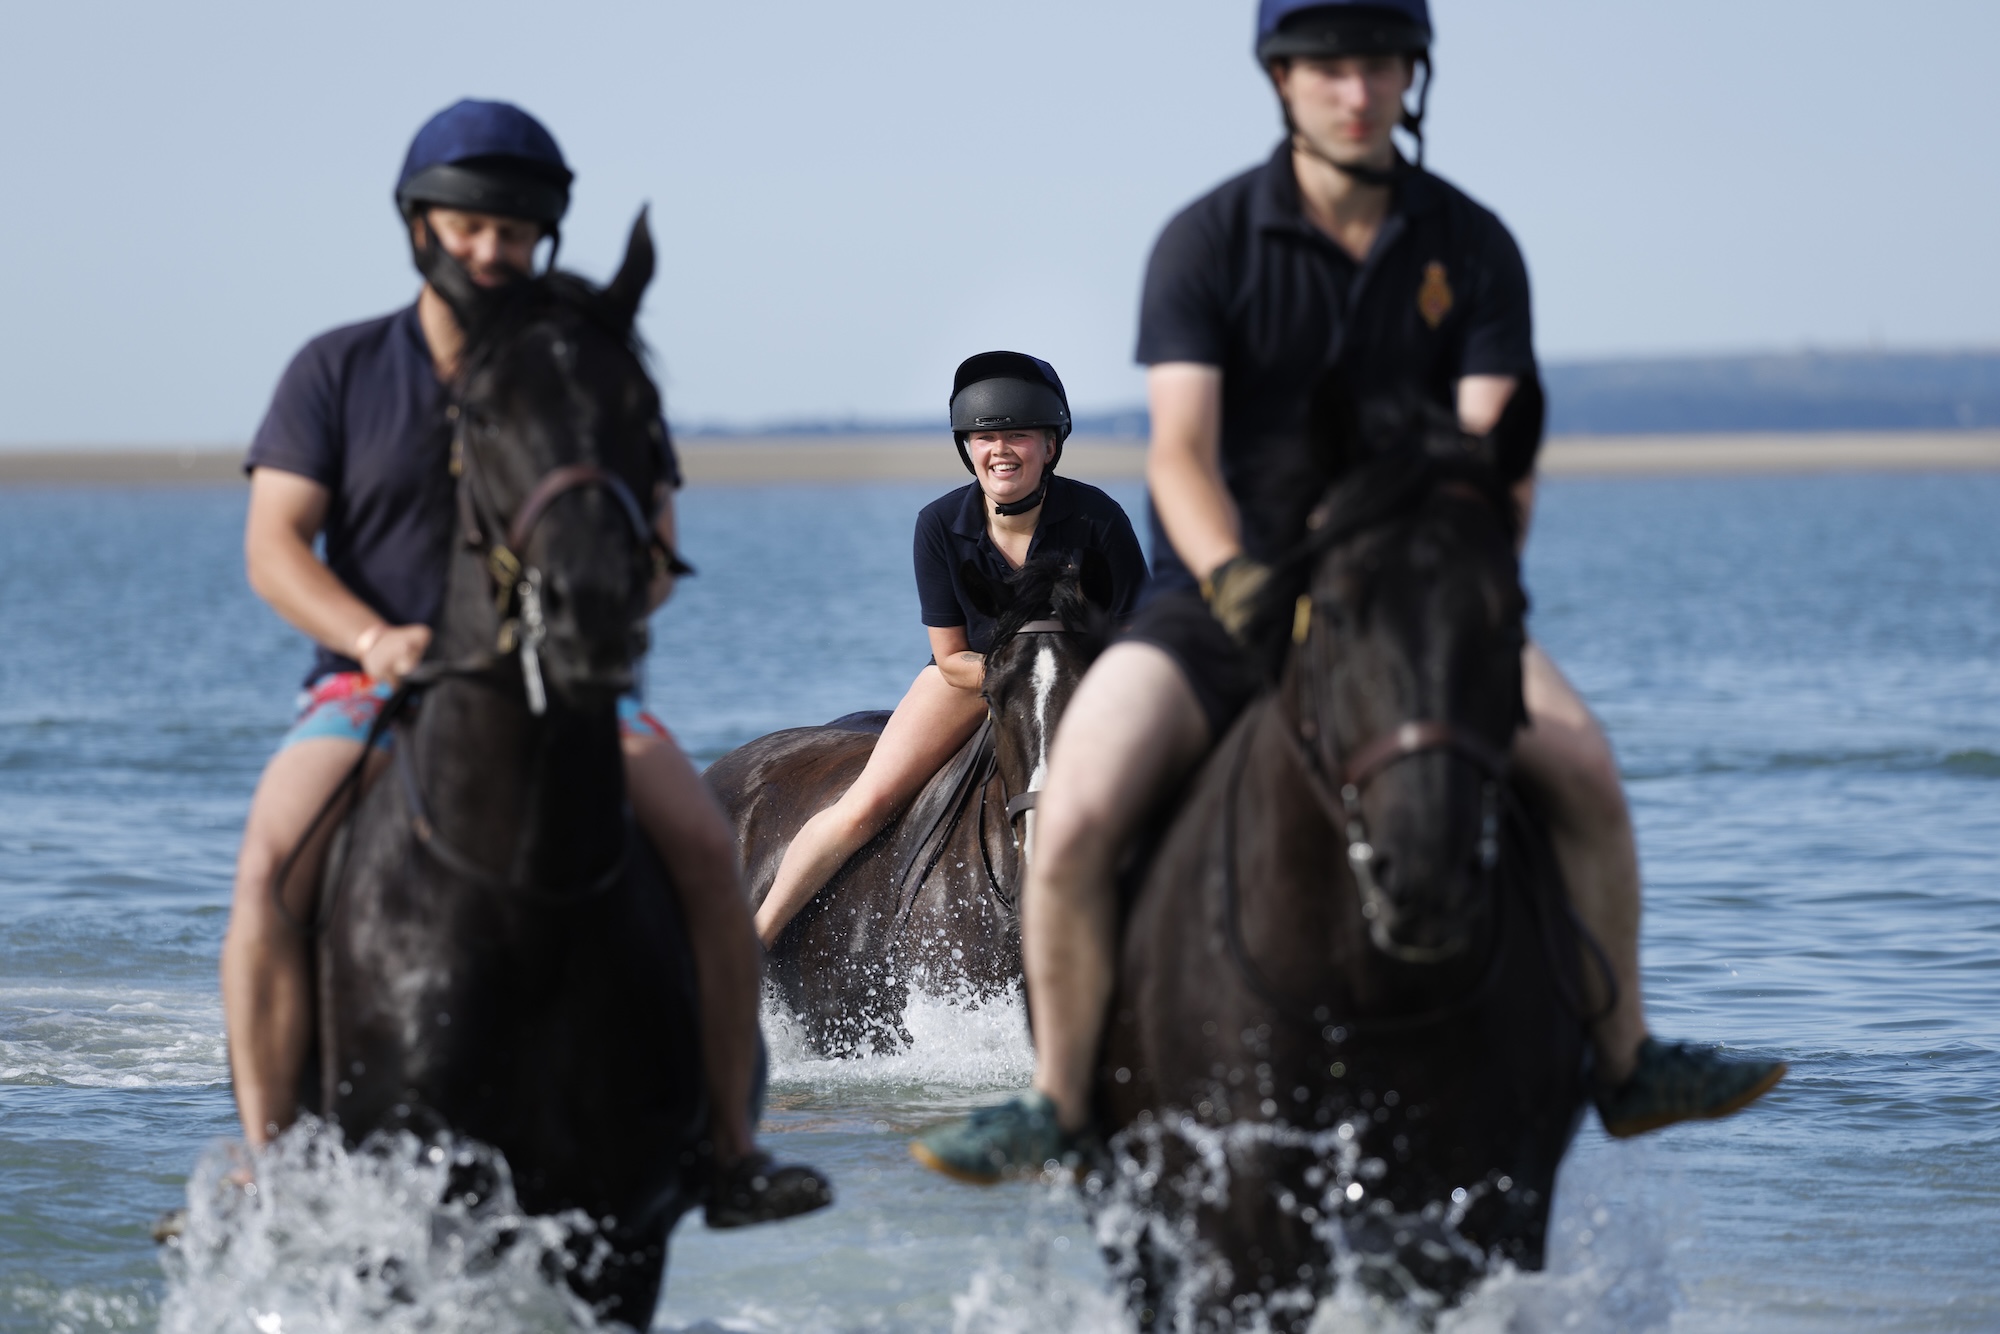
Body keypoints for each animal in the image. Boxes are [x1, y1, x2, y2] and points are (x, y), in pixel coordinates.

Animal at [1094, 384, 1592, 1330]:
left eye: (1510, 613)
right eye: (1335, 609)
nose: (1427, 875)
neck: (1369, 984)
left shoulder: (1489, 1207)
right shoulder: (1246, 1213)